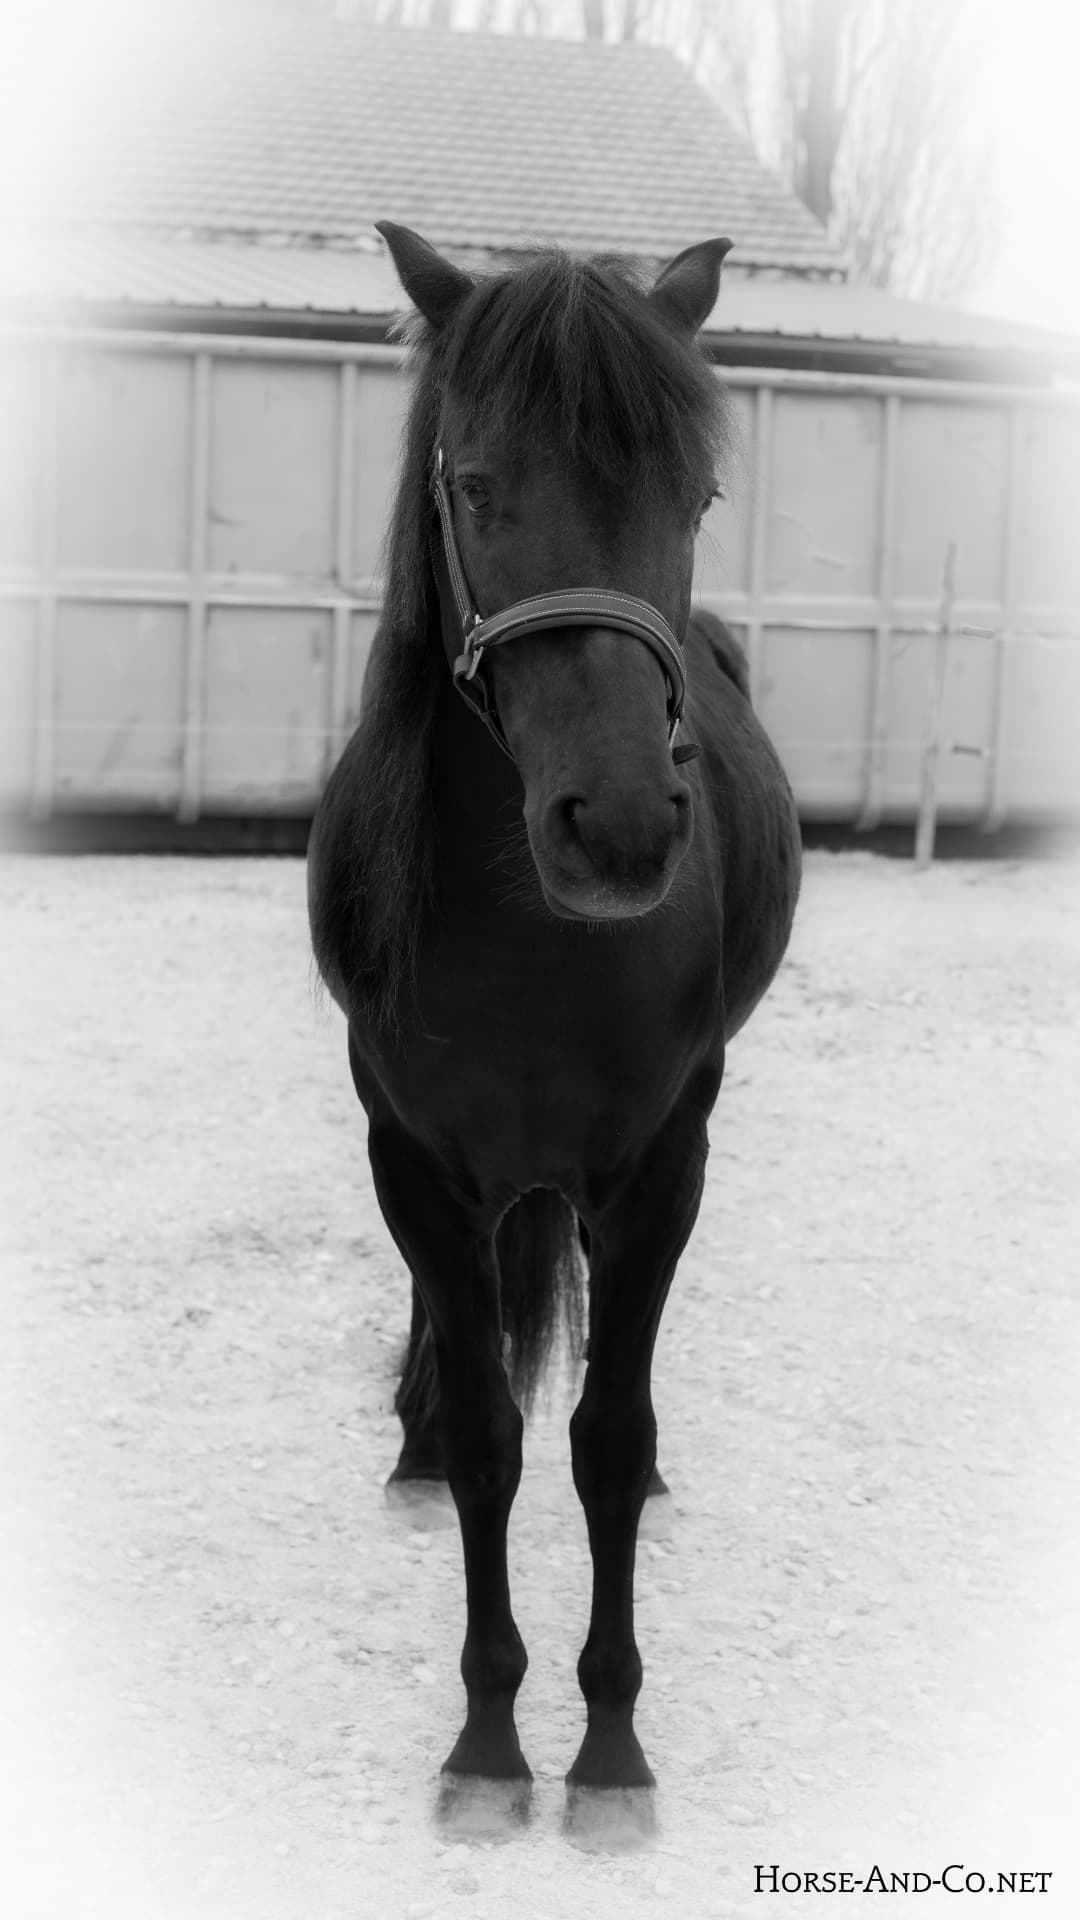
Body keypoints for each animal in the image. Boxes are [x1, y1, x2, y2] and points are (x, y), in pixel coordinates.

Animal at [307, 221, 801, 1847]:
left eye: (692, 496)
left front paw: (610, 1751)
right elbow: (489, 1438)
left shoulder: (659, 1168)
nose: (626, 830)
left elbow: (602, 1439)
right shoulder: (413, 1155)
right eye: (473, 486)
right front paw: (485, 1744)